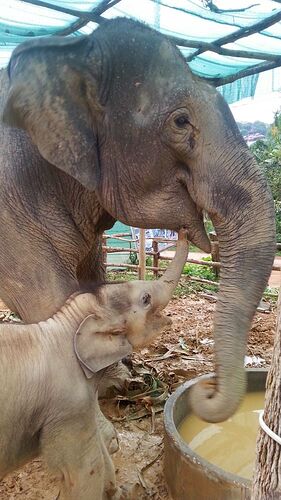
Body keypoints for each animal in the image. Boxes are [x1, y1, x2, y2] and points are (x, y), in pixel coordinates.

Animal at [0, 17, 276, 422]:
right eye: (181, 121)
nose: (205, 389)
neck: (73, 52)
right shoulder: (9, 201)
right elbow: (49, 296)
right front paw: (110, 385)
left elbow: (92, 284)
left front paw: (123, 374)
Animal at [0, 229, 188, 496]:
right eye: (145, 299)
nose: (182, 231)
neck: (64, 323)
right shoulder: (68, 407)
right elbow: (85, 468)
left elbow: (98, 447)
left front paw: (118, 491)